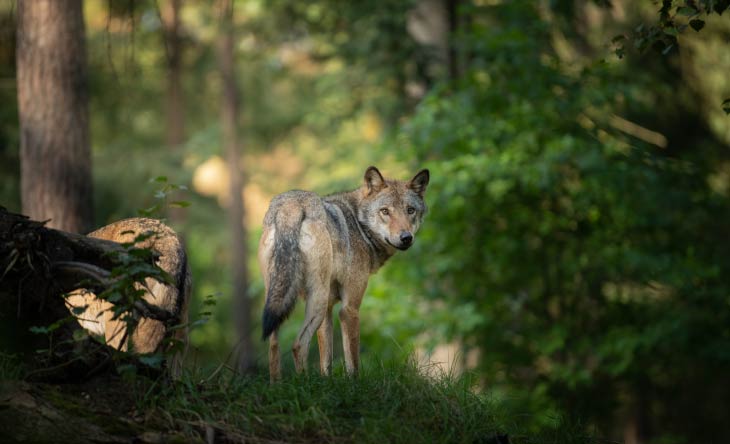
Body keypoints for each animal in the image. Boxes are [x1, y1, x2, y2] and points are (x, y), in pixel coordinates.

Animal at [258, 165, 426, 380]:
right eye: (385, 211)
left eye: (410, 210)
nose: (406, 237)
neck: (359, 225)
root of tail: (291, 205)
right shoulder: (349, 309)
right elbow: (352, 361)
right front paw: (354, 384)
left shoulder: (329, 311)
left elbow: (326, 361)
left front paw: (327, 383)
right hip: (317, 302)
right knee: (298, 345)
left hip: (278, 300)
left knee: (273, 345)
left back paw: (277, 385)